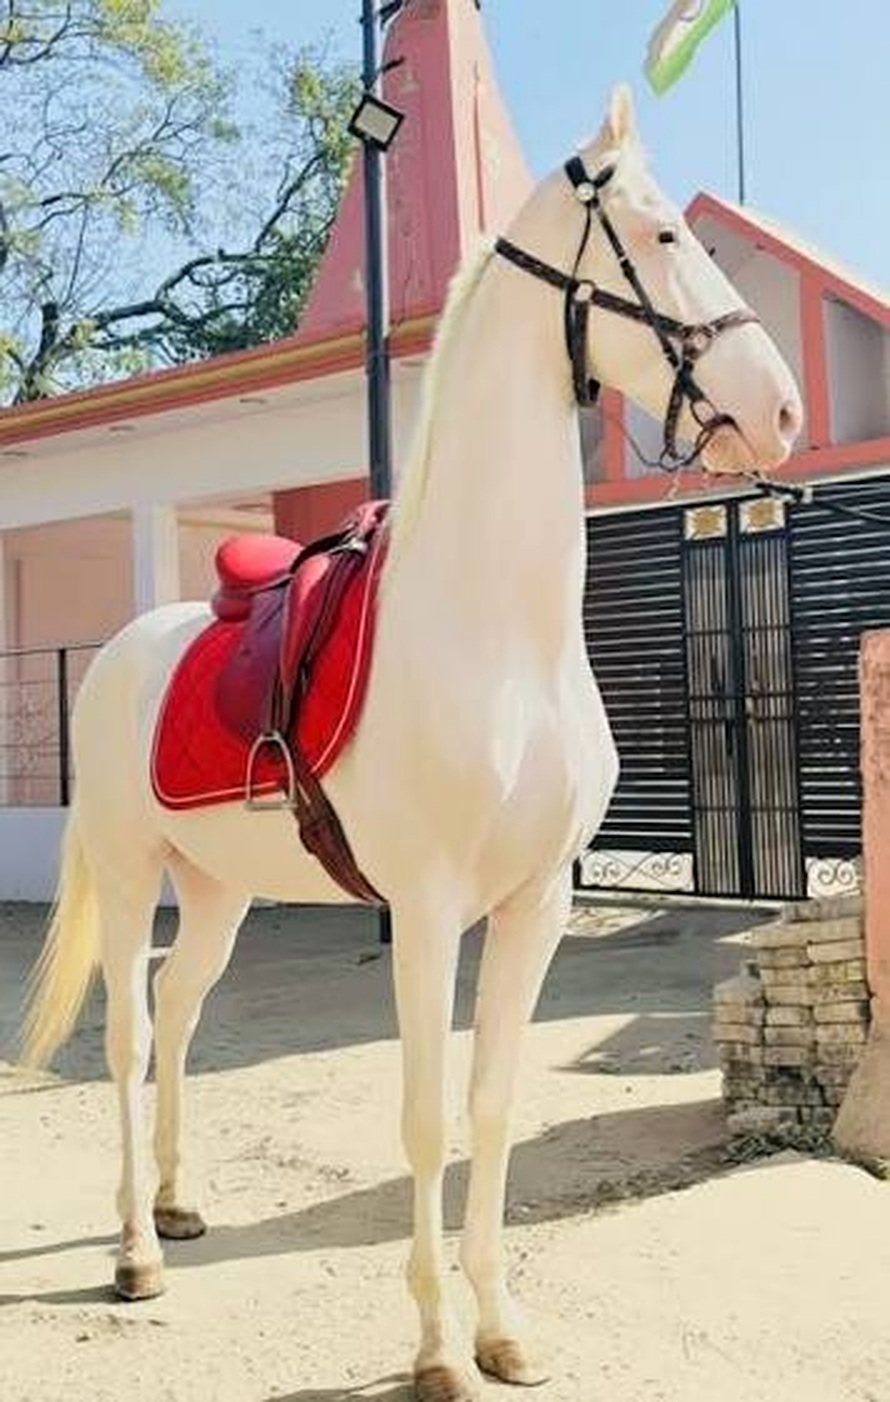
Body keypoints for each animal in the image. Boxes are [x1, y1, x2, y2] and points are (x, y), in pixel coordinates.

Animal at [22, 86, 801, 1402]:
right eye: (659, 237)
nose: (781, 408)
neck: (494, 630)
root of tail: (125, 649)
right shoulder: (430, 907)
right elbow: (427, 1118)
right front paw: (437, 1346)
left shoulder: (533, 903)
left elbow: (488, 1107)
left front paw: (502, 1325)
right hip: (131, 878)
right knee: (126, 1038)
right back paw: (135, 1251)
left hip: (219, 890)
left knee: (179, 1010)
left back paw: (178, 1203)